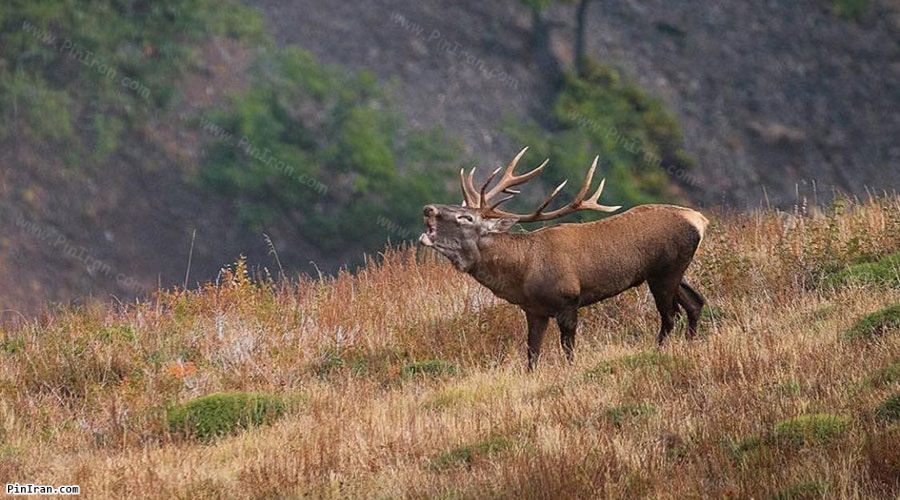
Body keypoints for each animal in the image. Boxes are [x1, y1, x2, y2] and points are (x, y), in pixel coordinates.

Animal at [418, 146, 708, 370]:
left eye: (466, 217)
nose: (428, 208)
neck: (522, 273)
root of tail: (700, 220)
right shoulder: (534, 310)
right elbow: (532, 355)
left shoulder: (568, 300)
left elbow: (568, 350)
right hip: (668, 272)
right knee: (694, 302)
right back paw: (689, 344)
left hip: (666, 271)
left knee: (670, 314)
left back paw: (658, 352)